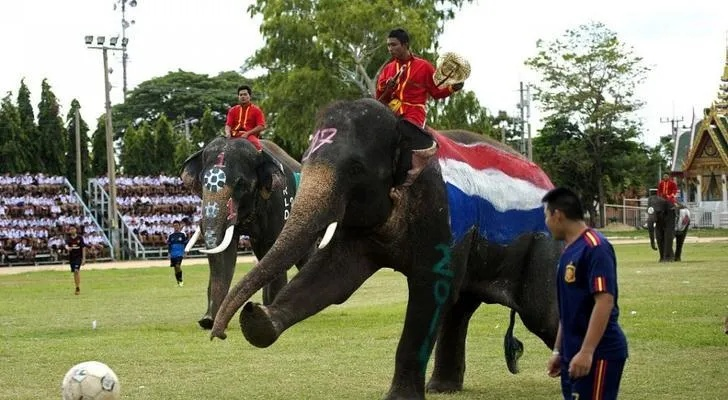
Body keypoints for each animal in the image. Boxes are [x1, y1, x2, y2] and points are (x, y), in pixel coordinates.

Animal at [181, 136, 312, 330]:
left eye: (240, 183)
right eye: (202, 182)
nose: (206, 322)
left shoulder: (279, 202)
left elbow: (273, 246)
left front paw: (268, 317)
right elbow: (224, 253)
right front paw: (209, 321)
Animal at [210, 97, 564, 400]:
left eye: (355, 168)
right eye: (307, 159)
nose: (218, 333)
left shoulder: (440, 210)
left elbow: (429, 291)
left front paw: (398, 398)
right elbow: (332, 279)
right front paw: (258, 321)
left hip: (543, 246)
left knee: (540, 313)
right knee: (460, 308)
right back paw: (442, 388)